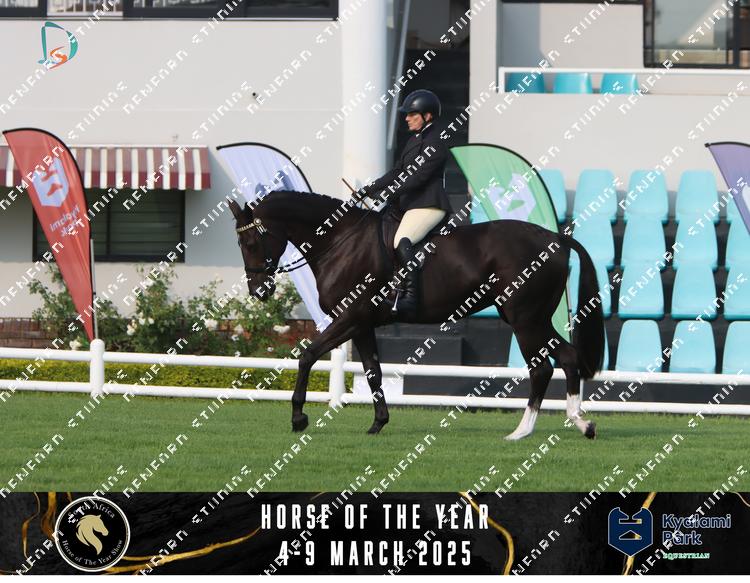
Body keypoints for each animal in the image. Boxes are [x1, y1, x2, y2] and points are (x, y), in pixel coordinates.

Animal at [228, 190, 604, 440]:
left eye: (251, 244)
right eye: (240, 245)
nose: (259, 291)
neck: (341, 242)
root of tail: (555, 237)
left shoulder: (348, 318)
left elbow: (307, 356)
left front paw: (298, 418)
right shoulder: (362, 325)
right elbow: (373, 371)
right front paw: (378, 423)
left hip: (525, 320)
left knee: (542, 367)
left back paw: (524, 431)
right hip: (531, 319)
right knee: (566, 358)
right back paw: (578, 423)